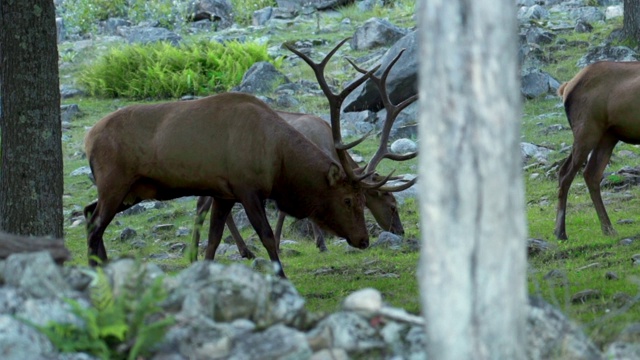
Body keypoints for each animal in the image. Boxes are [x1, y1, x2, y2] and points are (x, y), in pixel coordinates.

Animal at [552, 61, 640, 242]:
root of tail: (566, 87)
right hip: (587, 130)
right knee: (566, 173)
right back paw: (560, 232)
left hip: (608, 135)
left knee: (590, 173)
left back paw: (607, 228)